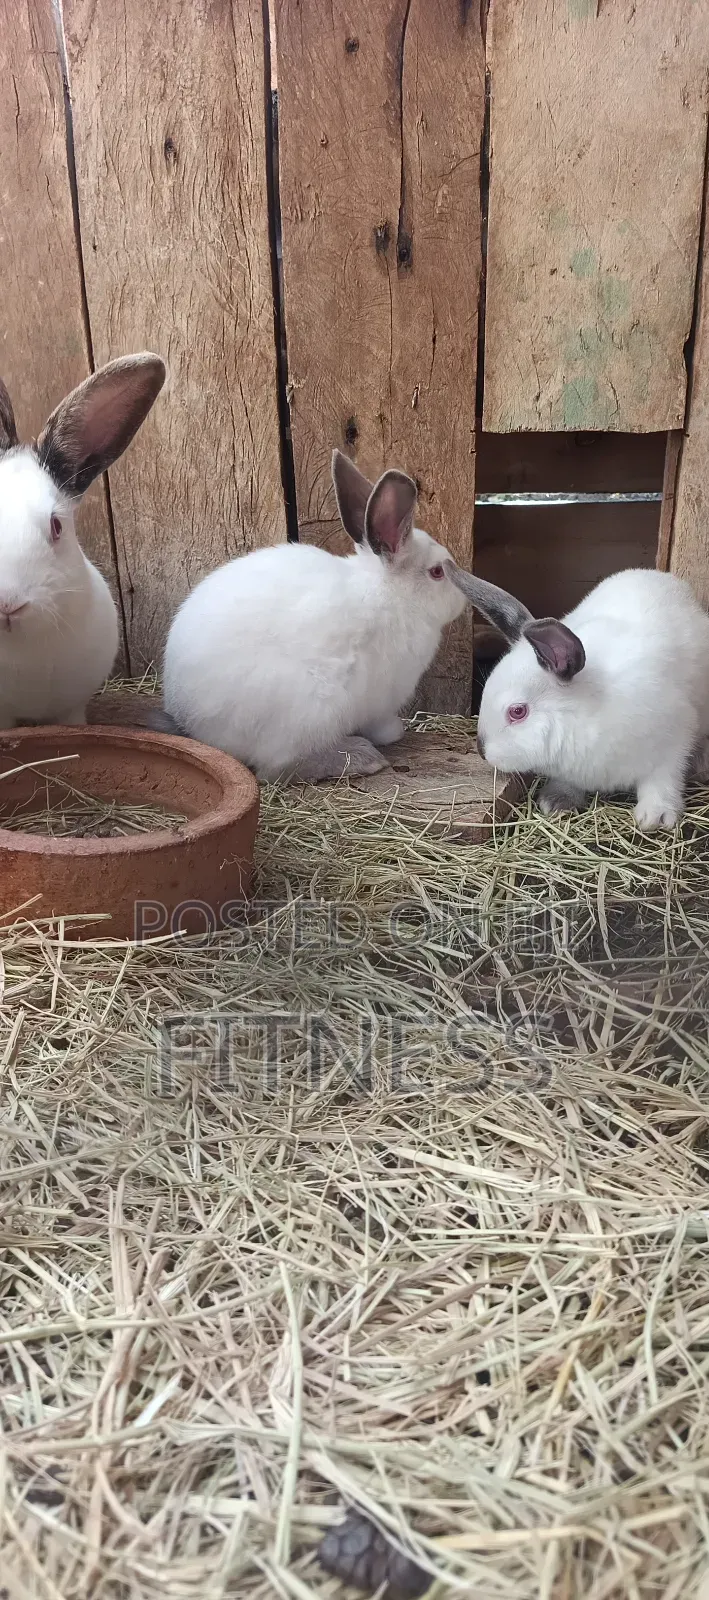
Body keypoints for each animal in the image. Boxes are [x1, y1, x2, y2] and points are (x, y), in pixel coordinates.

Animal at [161, 451, 469, 782]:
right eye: (437, 572)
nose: (463, 598)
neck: (389, 592)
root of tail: (194, 724)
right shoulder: (381, 700)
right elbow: (379, 722)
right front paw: (392, 733)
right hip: (313, 708)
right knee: (277, 767)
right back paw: (362, 757)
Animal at [445, 560, 709, 831]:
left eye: (518, 711)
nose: (482, 751)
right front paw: (557, 801)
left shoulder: (675, 741)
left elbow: (663, 780)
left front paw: (655, 817)